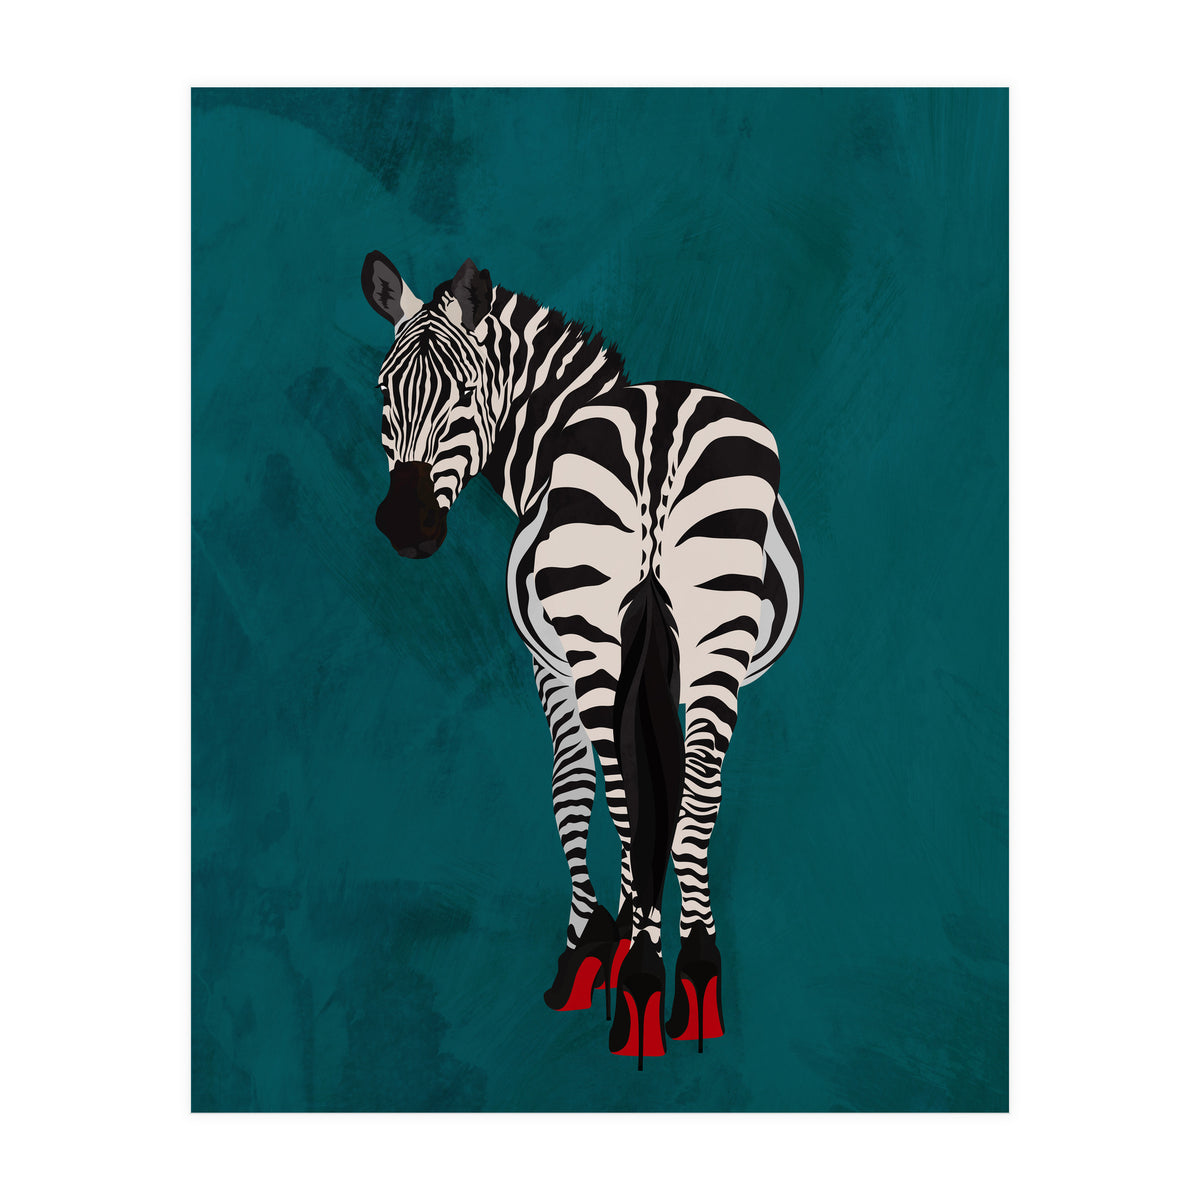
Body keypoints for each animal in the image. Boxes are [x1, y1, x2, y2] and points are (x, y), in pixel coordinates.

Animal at [361, 252, 803, 1066]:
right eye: (383, 392)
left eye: (463, 393)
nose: (406, 526)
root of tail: (661, 425)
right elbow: (660, 790)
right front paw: (629, 937)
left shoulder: (553, 665)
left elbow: (573, 789)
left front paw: (592, 946)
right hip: (715, 635)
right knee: (694, 794)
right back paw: (689, 978)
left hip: (598, 636)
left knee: (630, 793)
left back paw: (640, 983)